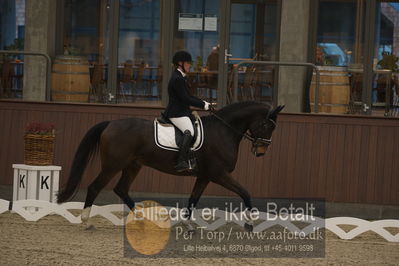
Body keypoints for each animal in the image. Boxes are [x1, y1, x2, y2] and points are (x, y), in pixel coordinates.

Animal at [57, 102, 284, 227]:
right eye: (267, 125)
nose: (260, 152)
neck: (224, 130)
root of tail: (110, 123)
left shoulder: (205, 176)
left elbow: (193, 199)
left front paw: (187, 224)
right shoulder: (219, 174)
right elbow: (245, 192)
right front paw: (250, 222)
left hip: (133, 165)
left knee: (121, 189)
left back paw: (144, 219)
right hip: (113, 165)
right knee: (95, 187)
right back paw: (86, 222)